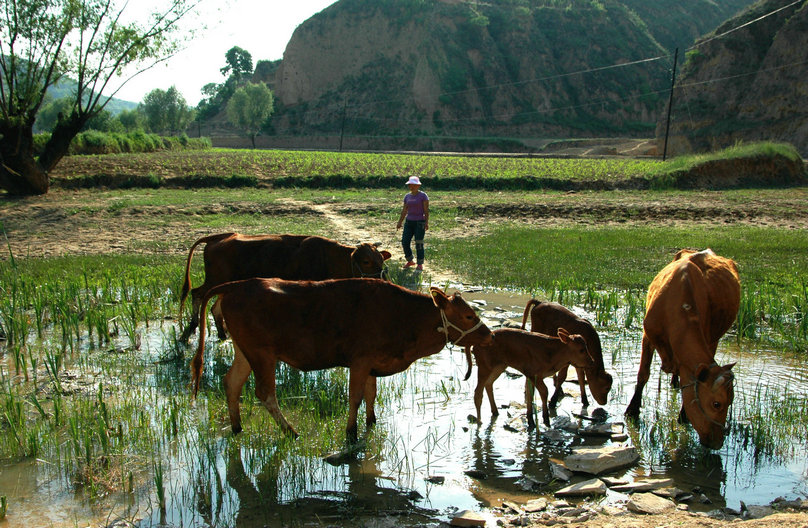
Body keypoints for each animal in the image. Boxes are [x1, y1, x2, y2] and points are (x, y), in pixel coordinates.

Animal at [179, 232, 392, 340]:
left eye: (381, 259)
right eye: (366, 261)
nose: (383, 280)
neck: (328, 257)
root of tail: (219, 237)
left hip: (223, 282)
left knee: (214, 304)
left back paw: (222, 333)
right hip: (214, 279)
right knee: (196, 293)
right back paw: (192, 326)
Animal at [191, 276, 492, 442]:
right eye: (468, 316)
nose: (489, 335)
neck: (404, 316)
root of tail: (239, 285)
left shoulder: (372, 365)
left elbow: (371, 395)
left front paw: (371, 422)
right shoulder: (360, 362)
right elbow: (355, 398)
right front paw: (351, 432)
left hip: (245, 351)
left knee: (232, 383)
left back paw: (237, 427)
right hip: (262, 354)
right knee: (264, 393)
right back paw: (290, 432)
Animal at [624, 250, 740, 448]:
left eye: (731, 402)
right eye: (717, 404)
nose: (718, 442)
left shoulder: (705, 340)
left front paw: (683, 416)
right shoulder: (647, 336)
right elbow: (643, 374)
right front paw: (632, 409)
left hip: (714, 339)